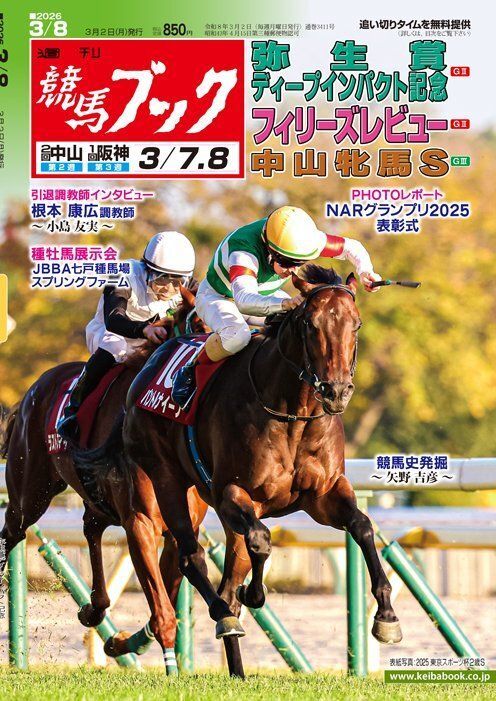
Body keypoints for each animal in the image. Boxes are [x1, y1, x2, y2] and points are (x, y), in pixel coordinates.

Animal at [0, 285, 208, 671]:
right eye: (198, 326)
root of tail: (34, 389)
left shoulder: (179, 530)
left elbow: (164, 603)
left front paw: (118, 641)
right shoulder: (139, 521)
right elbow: (163, 613)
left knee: (91, 528)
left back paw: (94, 610)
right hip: (29, 493)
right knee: (12, 532)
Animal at [123, 266, 403, 677]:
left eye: (357, 324)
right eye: (310, 324)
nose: (336, 391)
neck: (293, 414)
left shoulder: (323, 495)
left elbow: (363, 527)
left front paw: (387, 616)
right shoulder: (232, 494)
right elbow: (261, 540)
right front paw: (254, 593)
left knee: (225, 578)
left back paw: (237, 667)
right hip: (166, 478)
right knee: (192, 557)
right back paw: (224, 615)